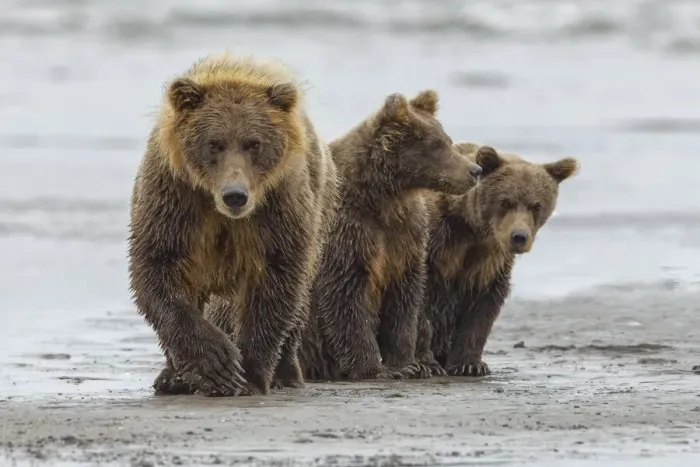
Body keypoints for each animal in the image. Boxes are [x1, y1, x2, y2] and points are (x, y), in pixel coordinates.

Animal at [127, 52, 337, 397]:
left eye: (254, 143)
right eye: (214, 143)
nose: (235, 195)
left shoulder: (276, 209)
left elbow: (275, 281)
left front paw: (249, 374)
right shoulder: (175, 199)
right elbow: (158, 269)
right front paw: (217, 364)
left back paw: (286, 373)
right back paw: (172, 377)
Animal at [299, 91, 484, 381]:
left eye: (449, 140)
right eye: (435, 144)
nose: (474, 170)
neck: (386, 199)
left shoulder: (406, 237)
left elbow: (404, 299)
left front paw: (408, 364)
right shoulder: (349, 231)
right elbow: (345, 296)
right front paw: (374, 368)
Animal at [417, 143, 579, 377]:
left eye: (536, 205)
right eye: (505, 202)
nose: (519, 237)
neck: (472, 229)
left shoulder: (491, 263)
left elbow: (483, 309)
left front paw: (469, 364)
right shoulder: (434, 246)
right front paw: (426, 364)